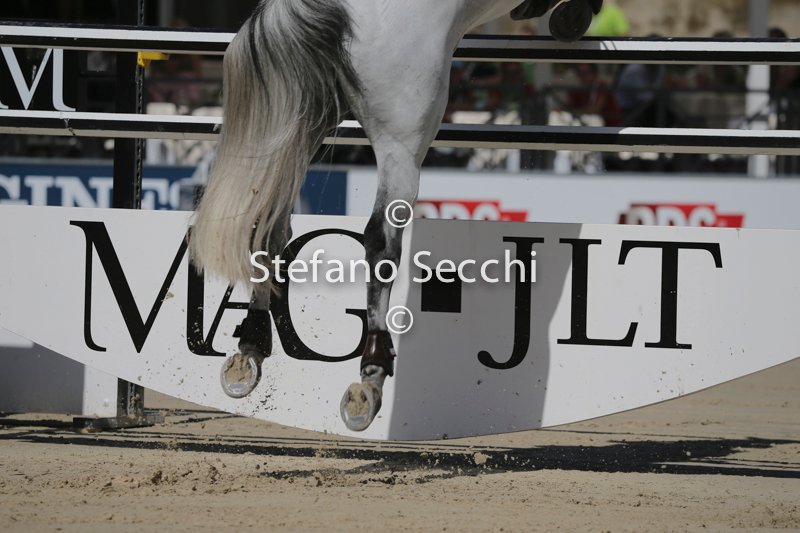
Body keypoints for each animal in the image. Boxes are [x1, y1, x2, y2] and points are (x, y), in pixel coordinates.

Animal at [189, 0, 602, 432]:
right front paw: (569, 16)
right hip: (402, 144)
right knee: (380, 243)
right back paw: (371, 373)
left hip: (305, 121)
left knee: (271, 230)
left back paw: (251, 347)